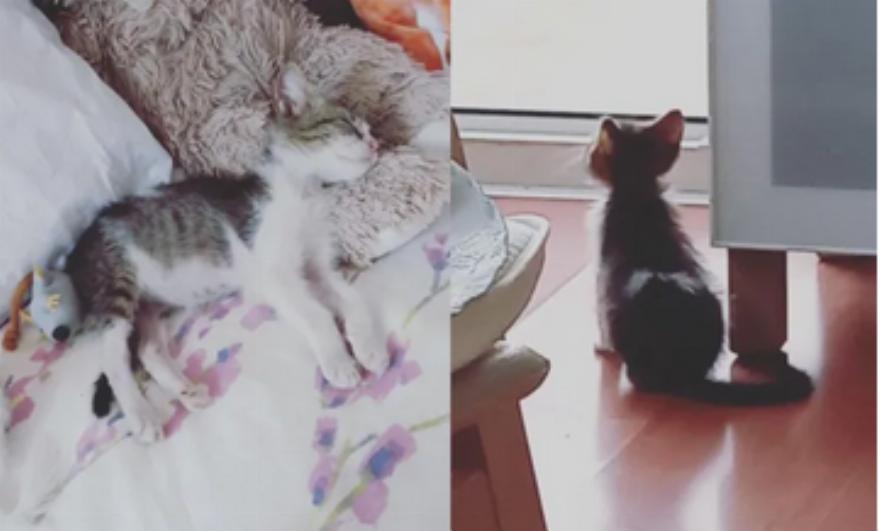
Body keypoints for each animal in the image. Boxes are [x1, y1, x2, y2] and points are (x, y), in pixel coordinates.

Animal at [65, 65, 388, 442]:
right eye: (349, 126)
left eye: (370, 130)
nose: (376, 144)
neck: (303, 191)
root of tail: (72, 253)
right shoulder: (275, 273)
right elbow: (317, 313)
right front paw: (339, 361)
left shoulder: (316, 265)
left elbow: (352, 299)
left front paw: (369, 347)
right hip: (116, 280)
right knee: (113, 356)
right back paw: (142, 416)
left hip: (150, 305)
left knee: (147, 349)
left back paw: (187, 390)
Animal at [589, 109, 813, 405]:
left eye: (592, 151)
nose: (588, 153)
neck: (637, 194)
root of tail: (686, 373)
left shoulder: (602, 274)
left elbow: (600, 315)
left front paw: (603, 348)